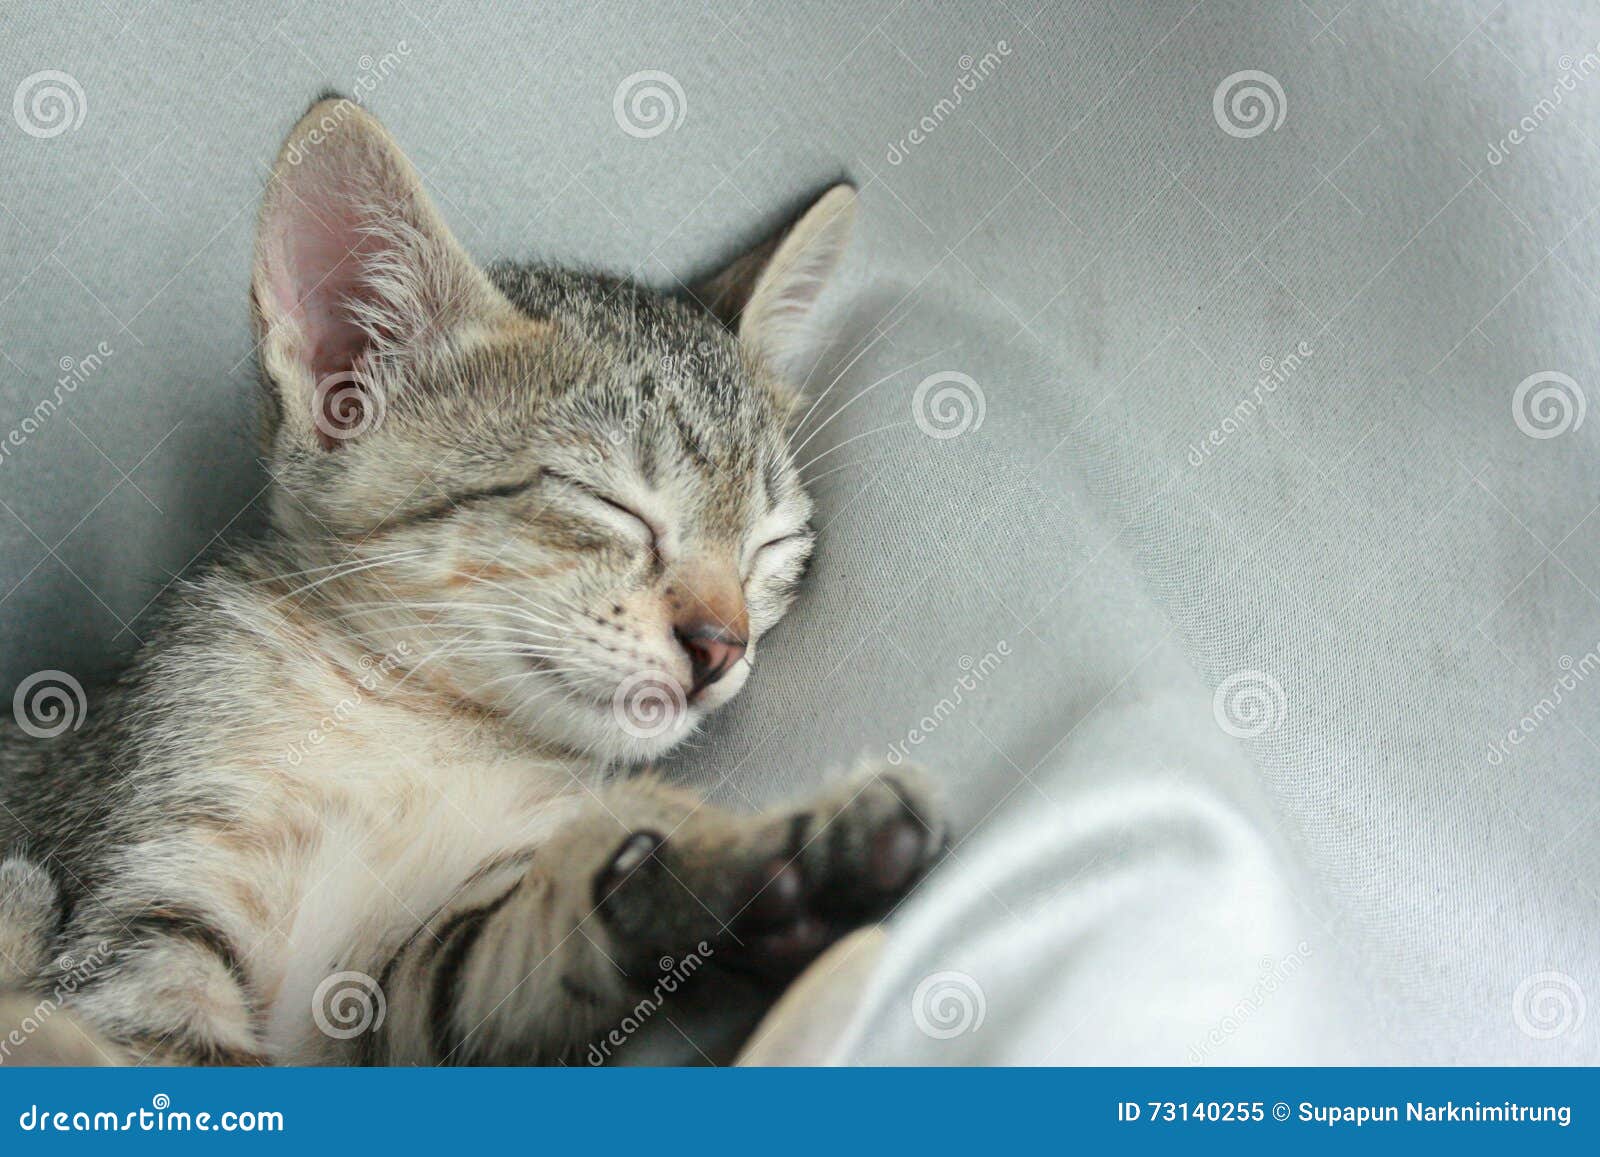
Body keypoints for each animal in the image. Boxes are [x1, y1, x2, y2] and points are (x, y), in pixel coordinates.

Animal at [0, 95, 940, 1062]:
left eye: (773, 545)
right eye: (611, 503)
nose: (722, 643)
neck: (418, 720)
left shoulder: (393, 995)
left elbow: (500, 954)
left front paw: (738, 876)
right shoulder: (144, 904)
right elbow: (161, 1041)